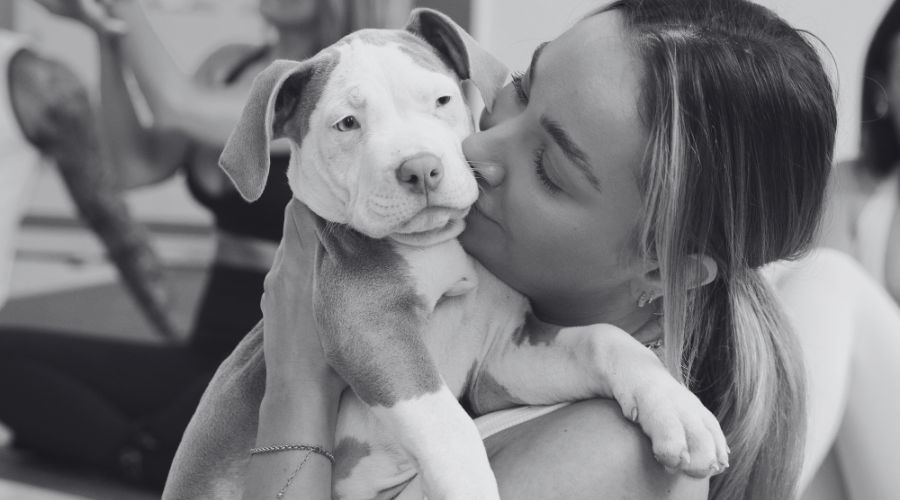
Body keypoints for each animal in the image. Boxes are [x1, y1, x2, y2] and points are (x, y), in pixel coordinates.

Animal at [163, 7, 724, 500]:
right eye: (346, 124)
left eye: (441, 99)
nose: (420, 168)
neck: (438, 247)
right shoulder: (369, 325)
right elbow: (449, 426)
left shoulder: (503, 355)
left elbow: (602, 338)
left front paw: (679, 410)